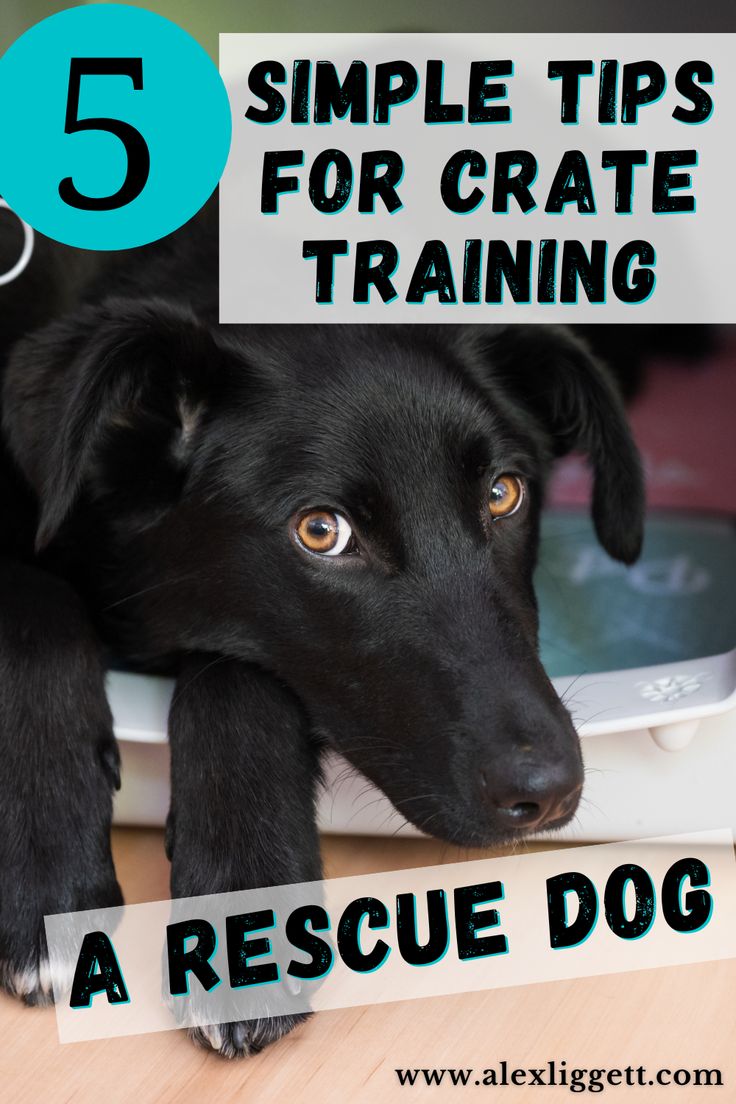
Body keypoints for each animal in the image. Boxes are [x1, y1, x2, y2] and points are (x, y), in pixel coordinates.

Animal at [0, 208, 644, 1059]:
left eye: (504, 493)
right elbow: (31, 602)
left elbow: (236, 670)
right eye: (320, 531)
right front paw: (49, 877)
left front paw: (243, 912)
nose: (547, 791)